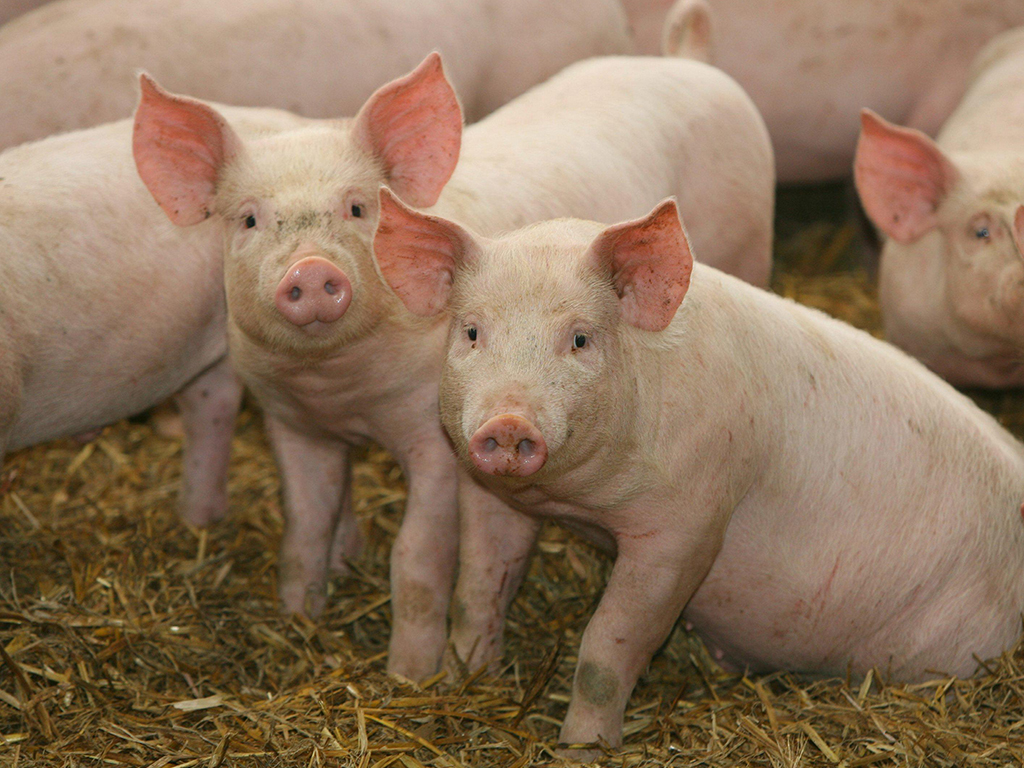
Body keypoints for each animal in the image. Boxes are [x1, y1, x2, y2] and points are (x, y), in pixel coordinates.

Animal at [131, 53, 773, 680]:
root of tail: (689, 62)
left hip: (749, 245)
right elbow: (304, 528)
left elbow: (416, 555)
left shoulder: (436, 438)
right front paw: (298, 620)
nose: (311, 270)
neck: (341, 390)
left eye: (358, 207)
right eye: (247, 220)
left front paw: (410, 677)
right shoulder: (292, 423)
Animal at [375, 192, 1024, 754]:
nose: (509, 422)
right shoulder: (492, 495)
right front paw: (463, 679)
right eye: (472, 331)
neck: (578, 503)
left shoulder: (687, 526)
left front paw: (581, 749)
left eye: (581, 338)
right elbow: (478, 590)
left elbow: (607, 647)